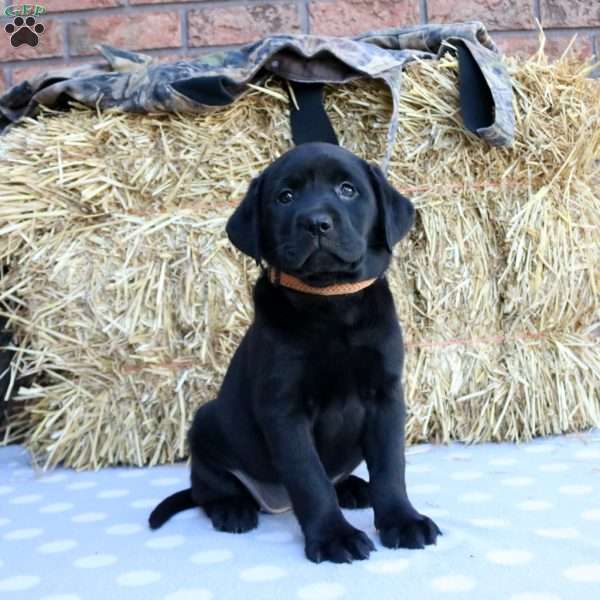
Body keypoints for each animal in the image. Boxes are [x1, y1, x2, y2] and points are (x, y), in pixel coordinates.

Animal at [150, 142, 440, 564]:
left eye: (347, 190)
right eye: (285, 197)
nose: (316, 223)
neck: (331, 302)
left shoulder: (386, 395)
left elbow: (390, 466)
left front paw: (402, 521)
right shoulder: (283, 408)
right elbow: (309, 478)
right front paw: (334, 536)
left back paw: (353, 487)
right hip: (205, 425)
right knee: (207, 486)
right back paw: (232, 508)